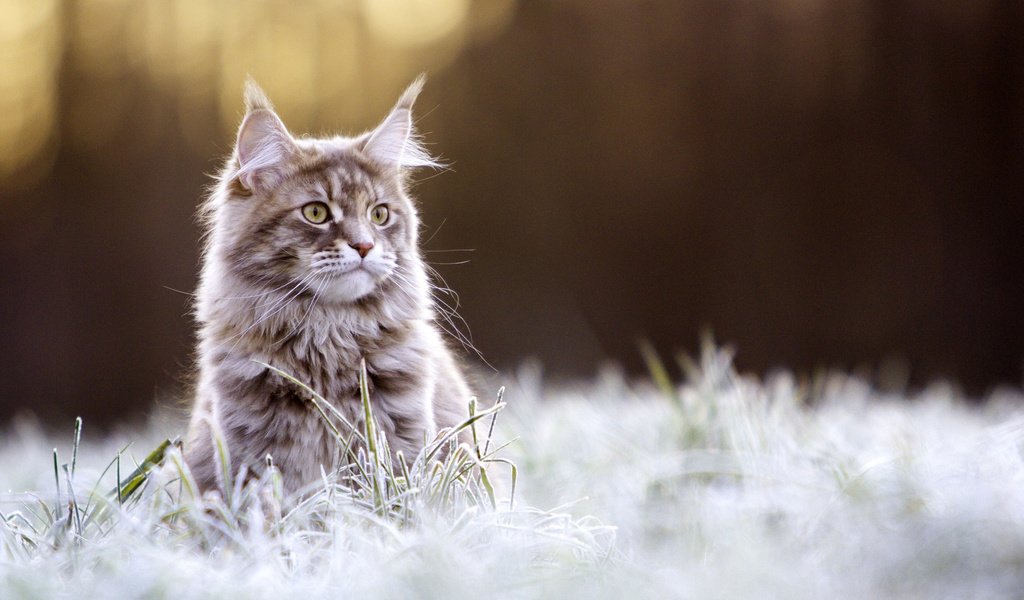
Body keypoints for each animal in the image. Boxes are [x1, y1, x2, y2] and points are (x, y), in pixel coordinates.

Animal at [186, 75, 473, 495]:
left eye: (379, 215)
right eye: (316, 212)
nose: (365, 246)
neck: (328, 330)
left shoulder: (400, 447)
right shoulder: (249, 458)